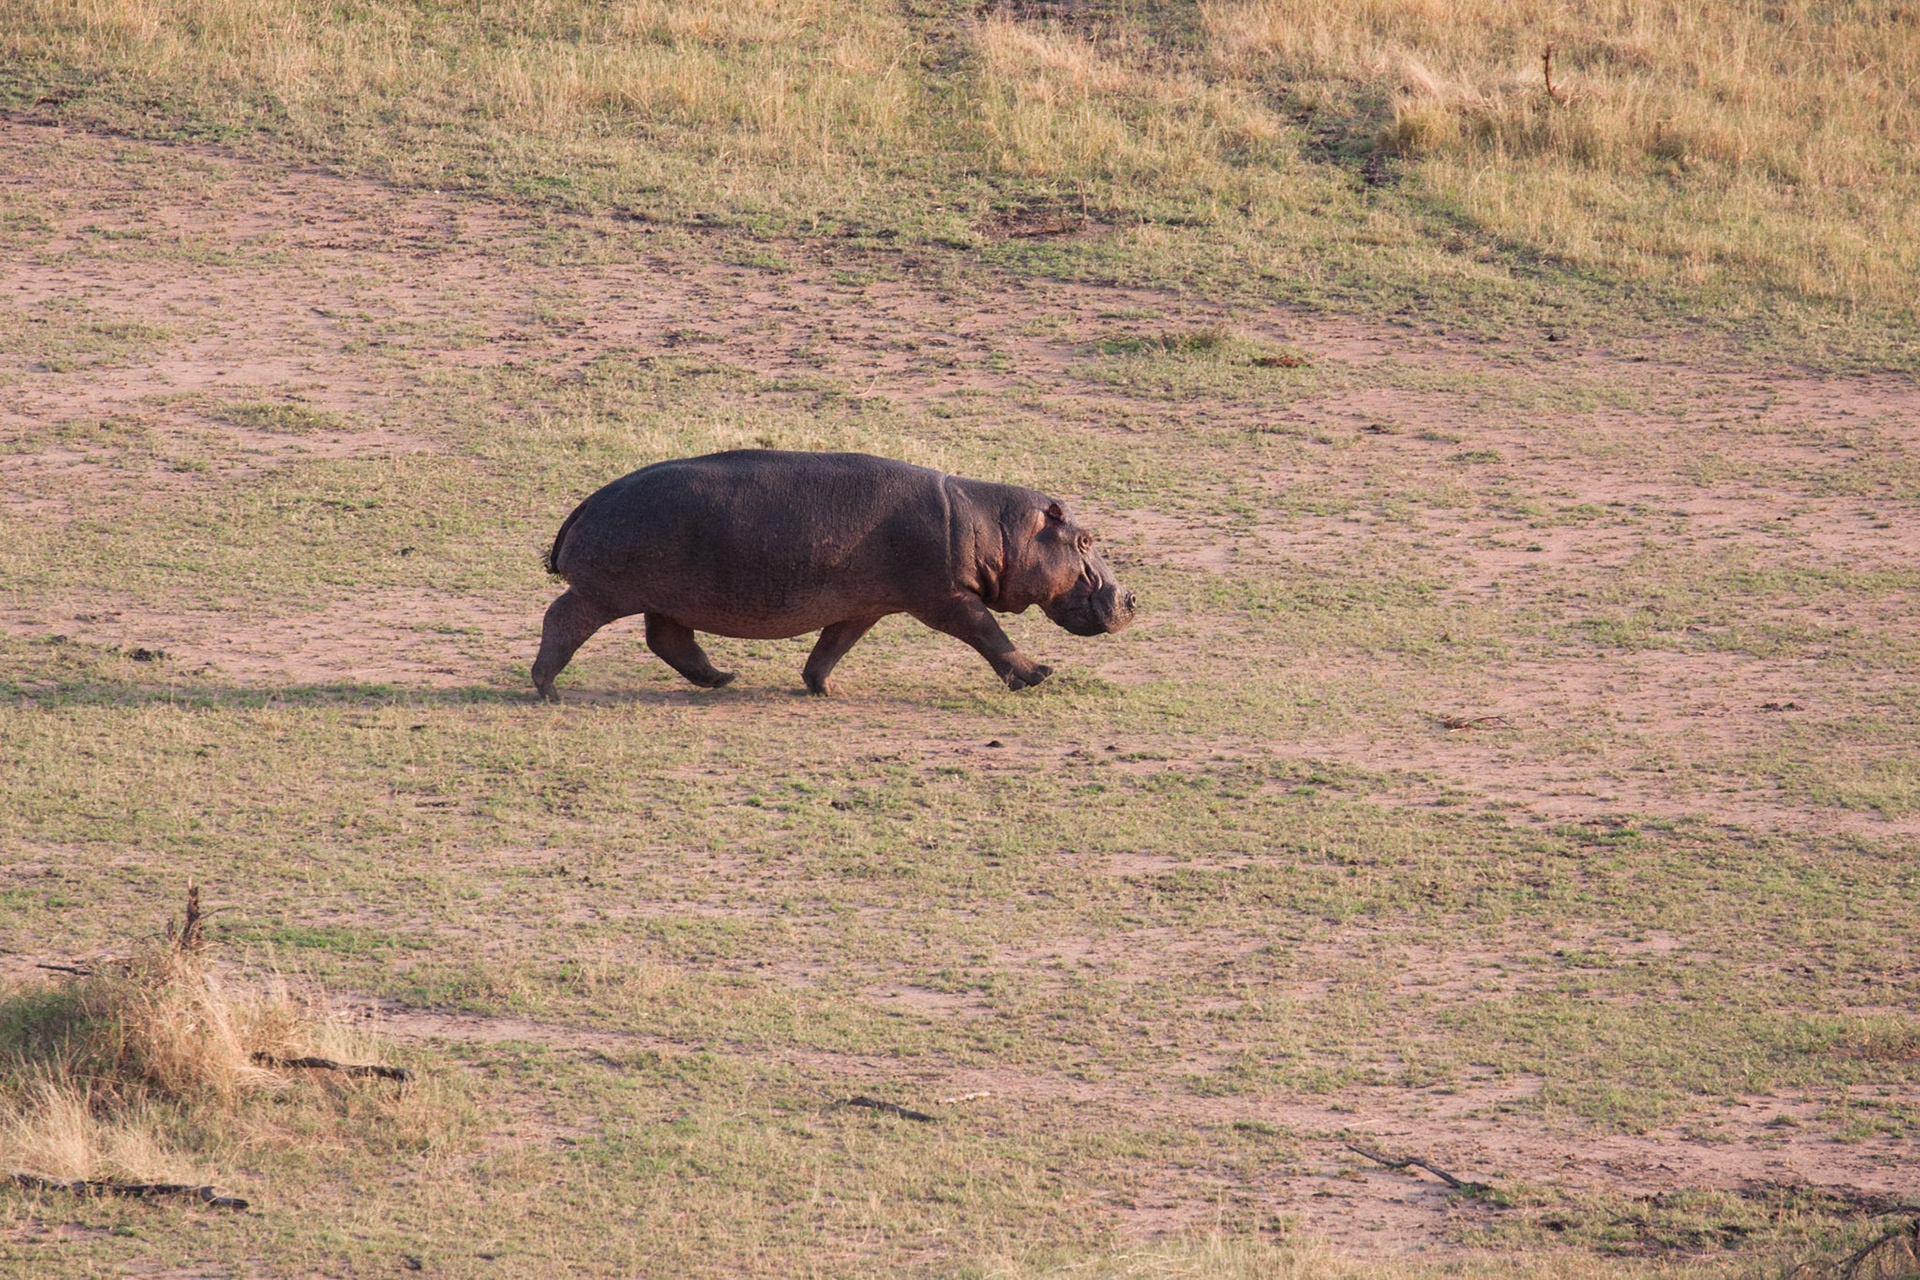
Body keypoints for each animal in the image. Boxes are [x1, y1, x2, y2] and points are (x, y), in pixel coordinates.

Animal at [533, 449, 1135, 699]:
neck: (998, 529)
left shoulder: (864, 606)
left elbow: (832, 646)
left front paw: (822, 688)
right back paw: (548, 690)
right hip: (603, 592)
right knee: (562, 620)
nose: (1131, 598)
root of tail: (588, 501)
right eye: (1085, 540)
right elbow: (990, 634)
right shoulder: (948, 598)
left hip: (663, 598)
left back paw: (723, 678)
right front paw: (1039, 675)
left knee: (668, 640)